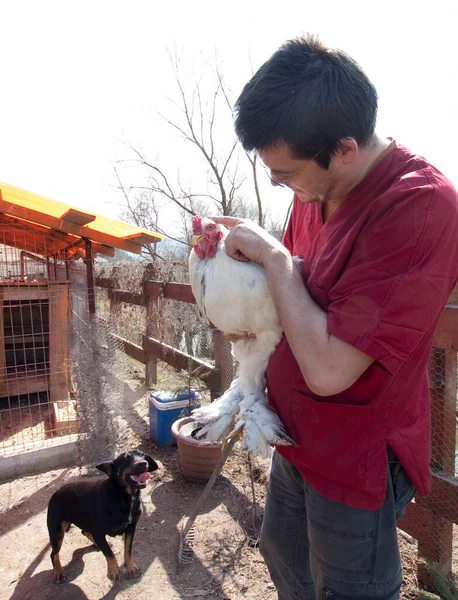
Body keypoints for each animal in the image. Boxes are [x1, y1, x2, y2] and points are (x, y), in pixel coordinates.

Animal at [46, 448, 157, 584]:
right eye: (126, 458)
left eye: (142, 455)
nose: (143, 463)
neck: (124, 496)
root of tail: (55, 493)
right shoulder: (98, 532)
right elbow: (109, 553)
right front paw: (113, 570)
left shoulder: (131, 528)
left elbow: (128, 549)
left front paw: (130, 567)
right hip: (56, 532)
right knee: (53, 554)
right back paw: (58, 572)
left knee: (84, 532)